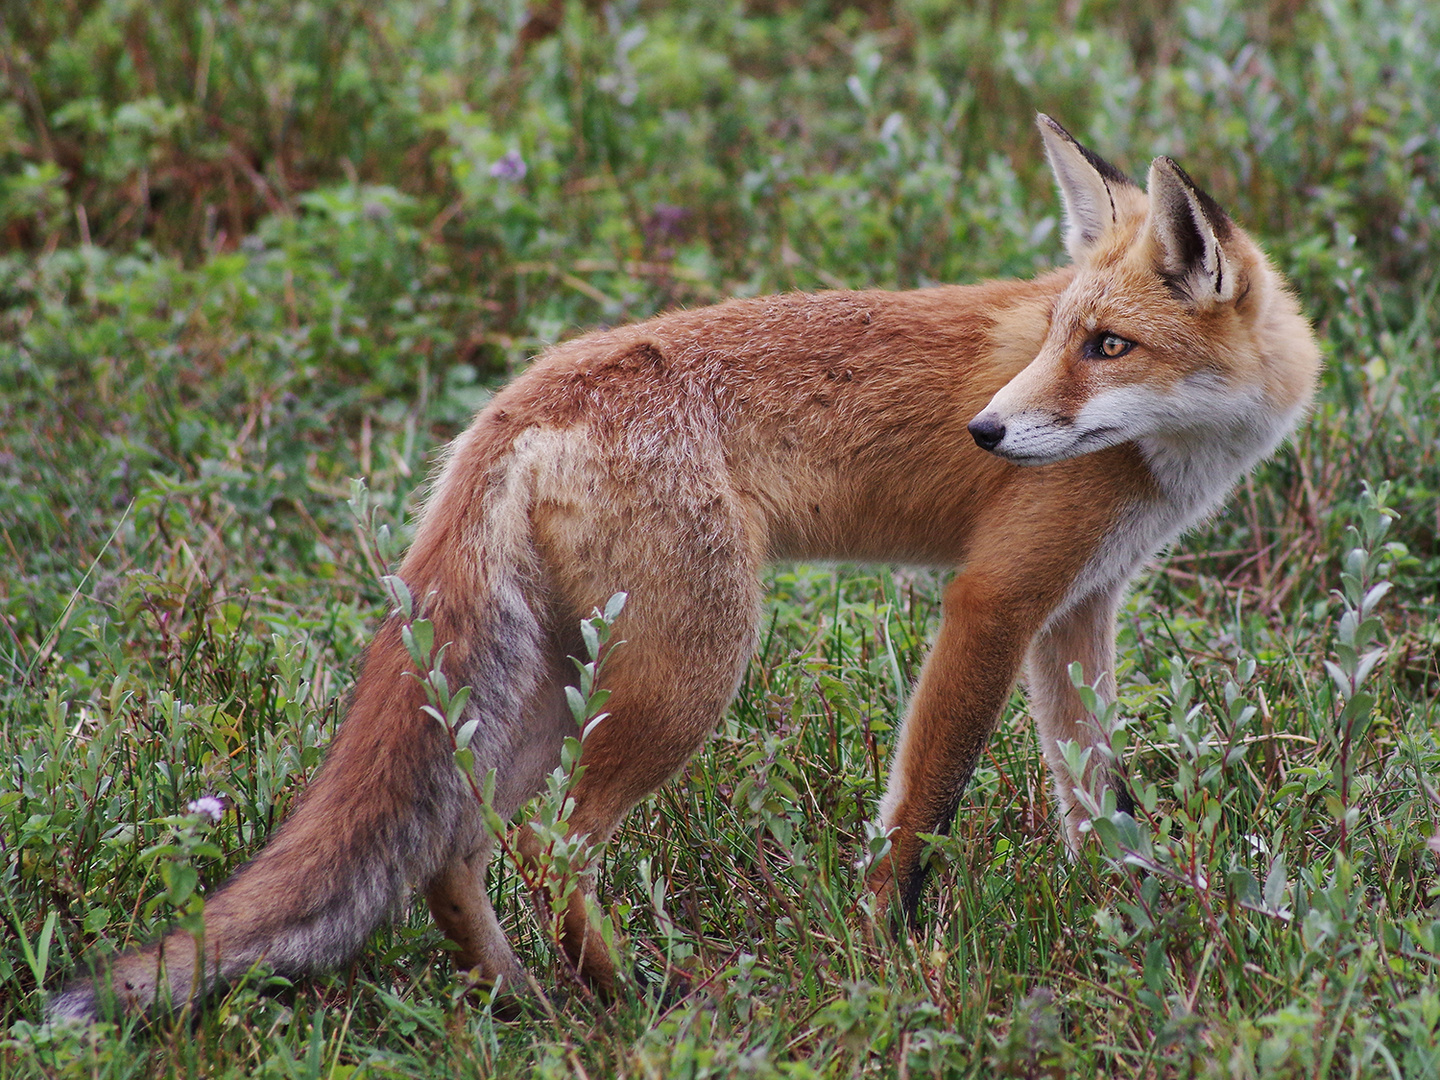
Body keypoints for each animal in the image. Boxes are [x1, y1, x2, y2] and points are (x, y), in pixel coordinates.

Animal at [53, 118, 1319, 1025]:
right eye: (1063, 336)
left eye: (1106, 346)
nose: (987, 433)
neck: (1174, 458)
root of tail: (521, 395)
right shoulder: (996, 601)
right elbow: (923, 812)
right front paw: (887, 962)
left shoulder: (1078, 611)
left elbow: (1103, 807)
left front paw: (1148, 937)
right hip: (693, 670)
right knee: (547, 840)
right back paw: (639, 1004)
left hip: (565, 678)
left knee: (458, 845)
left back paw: (527, 1001)